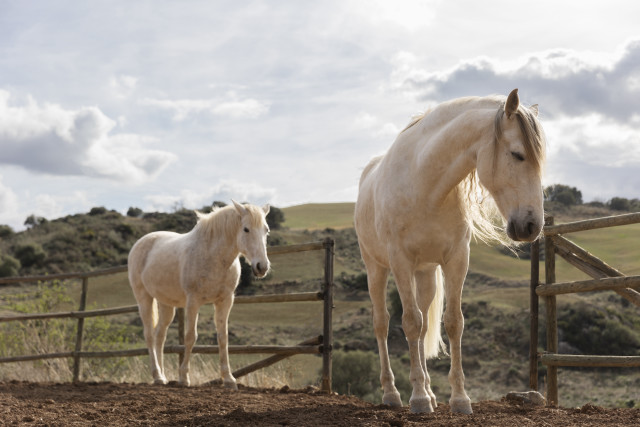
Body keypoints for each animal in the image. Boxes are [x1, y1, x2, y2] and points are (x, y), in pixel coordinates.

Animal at [128, 200, 271, 388]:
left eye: (266, 230)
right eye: (246, 229)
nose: (262, 267)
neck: (213, 256)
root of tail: (140, 242)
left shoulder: (225, 301)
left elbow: (223, 337)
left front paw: (229, 379)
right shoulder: (193, 302)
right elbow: (190, 337)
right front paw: (183, 378)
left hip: (166, 303)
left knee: (160, 336)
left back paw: (163, 377)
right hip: (144, 298)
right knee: (150, 335)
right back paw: (157, 376)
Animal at [354, 89, 546, 414]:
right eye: (518, 154)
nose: (532, 226)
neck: (425, 183)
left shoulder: (456, 260)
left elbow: (452, 322)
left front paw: (459, 399)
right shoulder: (400, 262)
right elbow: (410, 322)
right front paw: (417, 398)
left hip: (426, 273)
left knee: (422, 327)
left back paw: (430, 393)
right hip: (376, 269)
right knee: (383, 324)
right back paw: (392, 394)